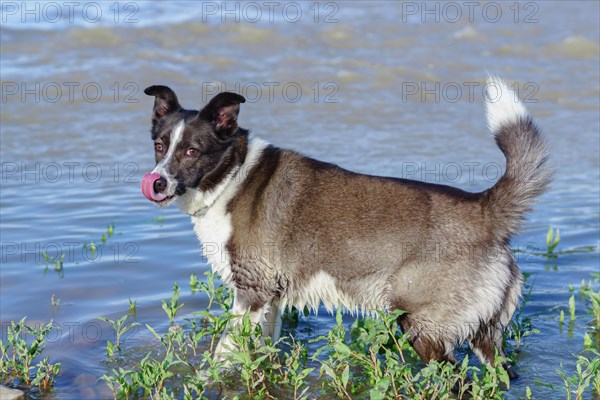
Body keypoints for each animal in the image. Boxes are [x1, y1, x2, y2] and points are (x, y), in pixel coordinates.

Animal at [139, 76, 548, 380]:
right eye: (159, 145)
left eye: (192, 151)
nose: (156, 183)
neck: (232, 175)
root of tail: (484, 210)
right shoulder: (271, 299)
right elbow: (262, 352)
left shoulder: (252, 293)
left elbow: (223, 353)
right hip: (484, 336)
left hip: (424, 328)